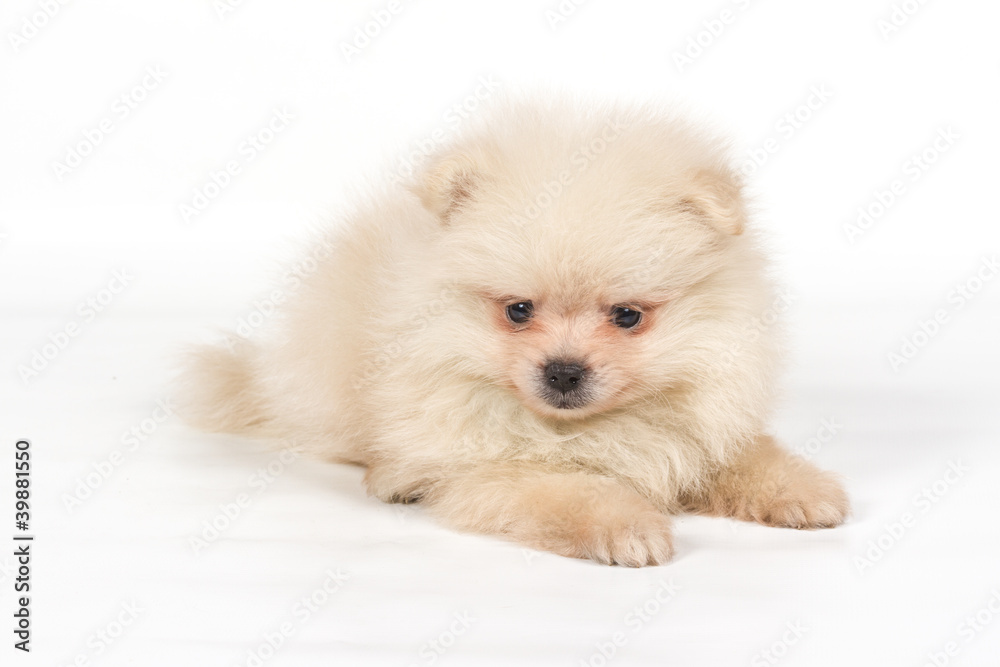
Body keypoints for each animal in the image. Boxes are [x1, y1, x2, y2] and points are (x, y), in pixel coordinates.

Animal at [178, 96, 844, 568]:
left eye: (627, 315)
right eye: (518, 310)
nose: (564, 370)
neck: (584, 429)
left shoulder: (699, 430)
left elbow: (744, 455)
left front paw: (802, 489)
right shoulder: (494, 470)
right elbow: (568, 493)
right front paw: (626, 526)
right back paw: (393, 477)